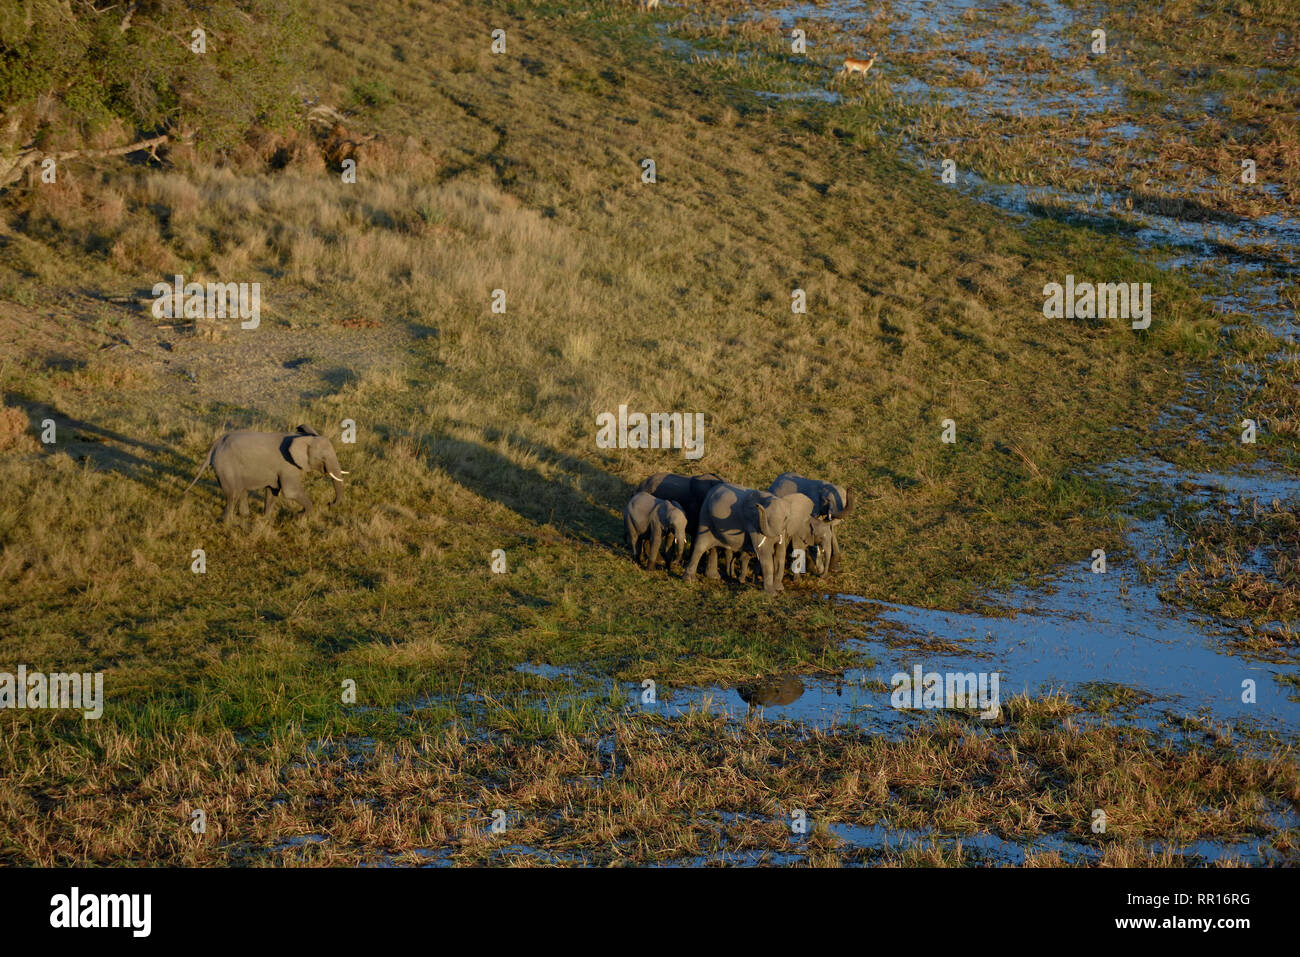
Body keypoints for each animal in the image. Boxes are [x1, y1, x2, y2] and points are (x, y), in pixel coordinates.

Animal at [187, 421, 351, 520]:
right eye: (323, 458)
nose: (329, 503)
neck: (302, 438)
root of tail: (215, 446)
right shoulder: (287, 465)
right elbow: (290, 491)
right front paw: (299, 516)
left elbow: (273, 490)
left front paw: (265, 519)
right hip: (226, 466)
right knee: (233, 494)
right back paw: (227, 523)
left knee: (240, 490)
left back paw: (245, 517)